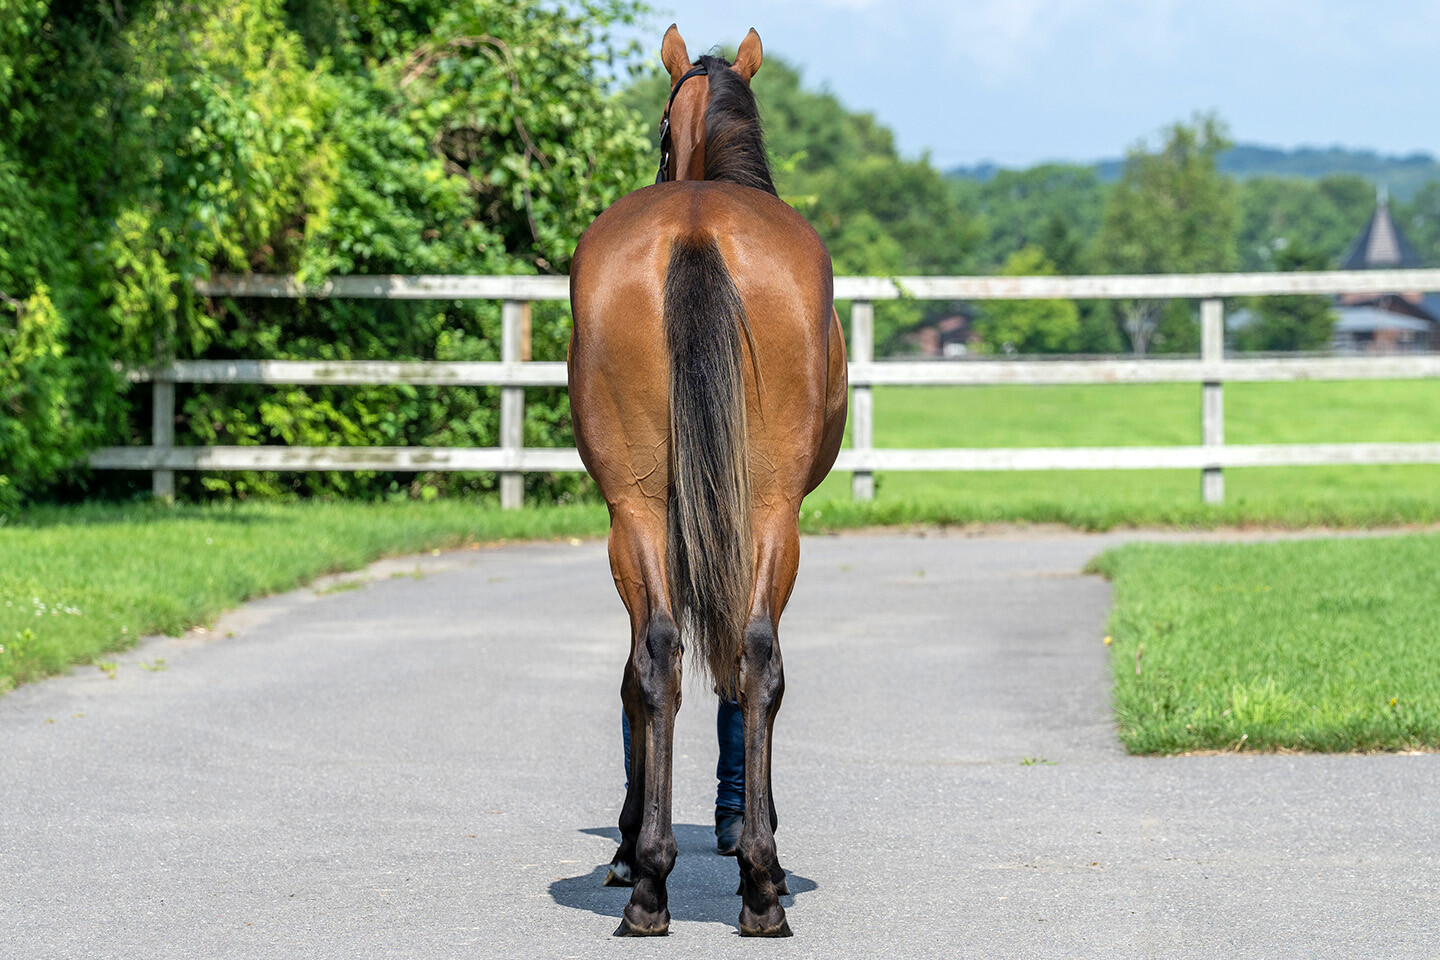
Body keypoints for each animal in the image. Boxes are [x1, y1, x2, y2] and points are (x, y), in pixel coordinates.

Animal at [567, 24, 847, 938]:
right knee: (738, 655)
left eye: (659, 127)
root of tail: (695, 228)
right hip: (758, 511)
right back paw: (747, 879)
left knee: (674, 656)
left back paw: (662, 880)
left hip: (645, 511)